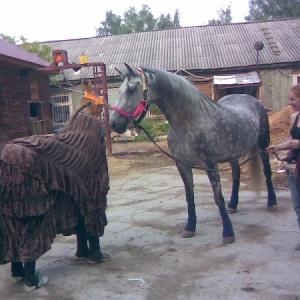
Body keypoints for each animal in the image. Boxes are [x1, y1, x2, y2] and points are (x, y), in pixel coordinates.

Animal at [109, 63, 276, 244]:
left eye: (131, 89)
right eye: (119, 90)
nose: (114, 123)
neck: (190, 122)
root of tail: (253, 100)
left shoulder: (210, 164)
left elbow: (218, 197)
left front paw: (228, 232)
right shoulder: (182, 165)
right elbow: (189, 196)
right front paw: (190, 227)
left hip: (263, 146)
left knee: (267, 171)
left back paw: (272, 202)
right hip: (233, 153)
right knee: (236, 175)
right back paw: (233, 205)